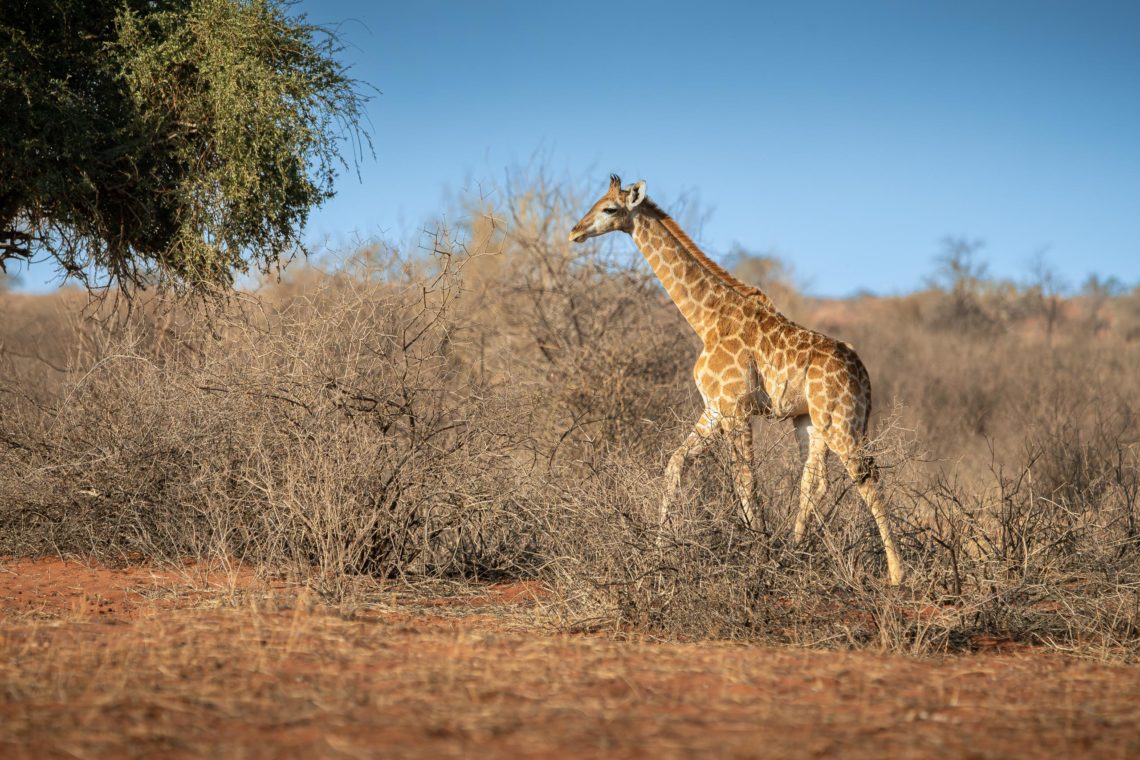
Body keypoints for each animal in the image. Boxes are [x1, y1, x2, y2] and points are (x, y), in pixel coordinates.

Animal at [565, 175, 902, 587]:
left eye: (609, 208)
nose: (575, 231)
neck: (707, 319)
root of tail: (863, 372)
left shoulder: (736, 408)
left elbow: (745, 481)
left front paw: (759, 553)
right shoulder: (715, 408)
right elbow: (676, 463)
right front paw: (661, 548)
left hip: (842, 420)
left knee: (865, 476)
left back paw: (897, 573)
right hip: (811, 420)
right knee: (814, 480)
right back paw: (795, 551)